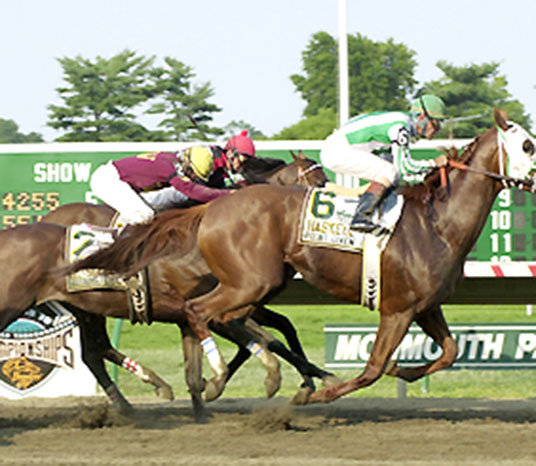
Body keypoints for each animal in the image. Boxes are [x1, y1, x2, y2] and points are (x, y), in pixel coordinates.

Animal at [71, 109, 536, 404]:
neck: (437, 223)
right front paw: (322, 391)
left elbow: (450, 352)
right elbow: (371, 367)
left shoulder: (426, 306)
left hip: (261, 283)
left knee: (203, 322)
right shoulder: (398, 308)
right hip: (249, 283)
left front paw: (400, 372)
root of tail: (212, 208)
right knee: (200, 313)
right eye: (528, 145)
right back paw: (219, 374)